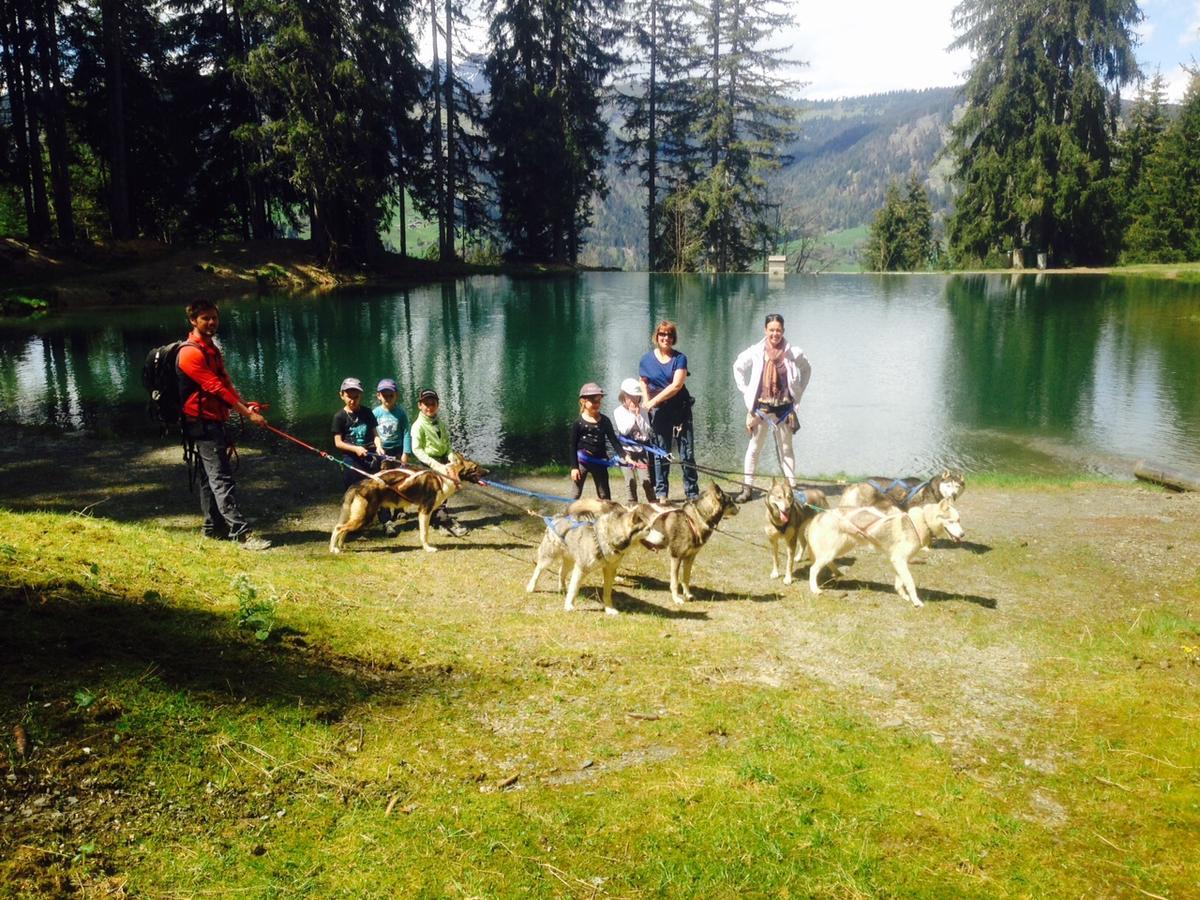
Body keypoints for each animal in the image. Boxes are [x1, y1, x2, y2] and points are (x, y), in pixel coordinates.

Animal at [328, 458, 487, 556]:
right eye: (475, 467)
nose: (488, 472)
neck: (445, 477)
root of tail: (357, 485)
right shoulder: (424, 511)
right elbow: (424, 534)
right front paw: (427, 548)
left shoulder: (428, 511)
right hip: (365, 517)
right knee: (338, 528)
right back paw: (333, 549)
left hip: (360, 517)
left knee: (344, 531)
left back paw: (340, 547)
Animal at [528, 504, 657, 619]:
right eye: (648, 529)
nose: (662, 539)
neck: (609, 538)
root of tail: (557, 517)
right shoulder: (581, 568)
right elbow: (574, 589)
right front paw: (569, 605)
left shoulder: (610, 570)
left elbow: (607, 593)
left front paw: (609, 609)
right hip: (549, 557)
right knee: (538, 569)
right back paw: (531, 586)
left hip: (570, 560)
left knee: (561, 572)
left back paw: (562, 588)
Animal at [806, 501, 964, 607]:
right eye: (951, 521)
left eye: (959, 520)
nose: (962, 535)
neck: (922, 522)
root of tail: (821, 514)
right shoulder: (899, 560)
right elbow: (910, 582)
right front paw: (916, 601)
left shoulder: (898, 560)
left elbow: (900, 582)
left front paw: (903, 595)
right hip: (832, 550)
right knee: (813, 569)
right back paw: (814, 589)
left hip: (840, 548)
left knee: (827, 562)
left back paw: (837, 573)